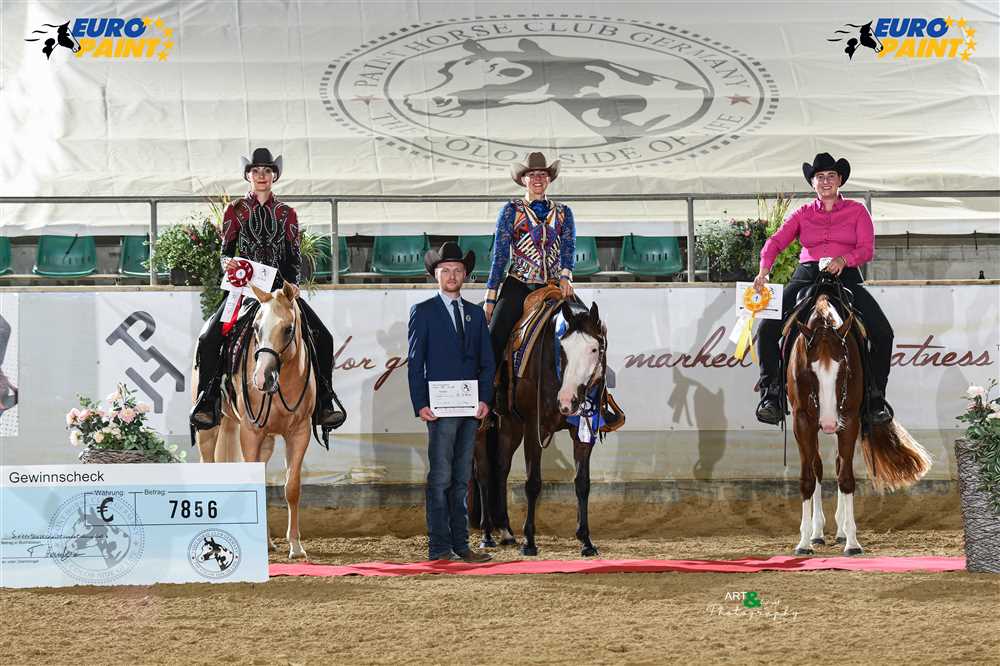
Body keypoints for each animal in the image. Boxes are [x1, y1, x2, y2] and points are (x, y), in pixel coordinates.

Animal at [194, 281, 317, 559]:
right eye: (257, 328)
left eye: (288, 329)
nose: (261, 378)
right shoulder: (250, 433)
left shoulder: (299, 433)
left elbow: (292, 487)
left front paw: (296, 546)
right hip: (208, 430)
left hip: (266, 441)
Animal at [474, 299, 608, 557]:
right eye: (562, 350)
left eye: (594, 349)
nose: (566, 401)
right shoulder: (533, 429)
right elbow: (533, 483)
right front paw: (529, 541)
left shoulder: (582, 431)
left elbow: (582, 483)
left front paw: (586, 541)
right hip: (480, 429)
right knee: (483, 472)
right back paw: (487, 535)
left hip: (510, 425)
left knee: (501, 467)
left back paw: (506, 531)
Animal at [786, 293, 931, 556]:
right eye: (810, 370)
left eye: (844, 368)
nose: (829, 422)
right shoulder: (802, 422)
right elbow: (808, 479)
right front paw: (803, 543)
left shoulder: (850, 419)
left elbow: (846, 478)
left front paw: (852, 542)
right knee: (818, 467)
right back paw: (817, 533)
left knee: (837, 464)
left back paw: (841, 532)